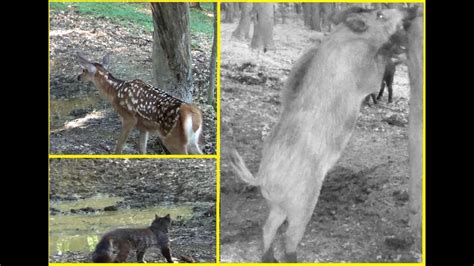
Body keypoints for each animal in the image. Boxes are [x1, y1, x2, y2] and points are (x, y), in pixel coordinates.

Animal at [228, 7, 420, 262]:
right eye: (380, 15)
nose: (411, 10)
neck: (351, 38)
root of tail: (261, 178)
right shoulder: (366, 76)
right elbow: (378, 71)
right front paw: (396, 46)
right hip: (304, 201)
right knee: (289, 235)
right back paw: (292, 257)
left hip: (278, 205)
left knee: (268, 227)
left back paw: (271, 258)